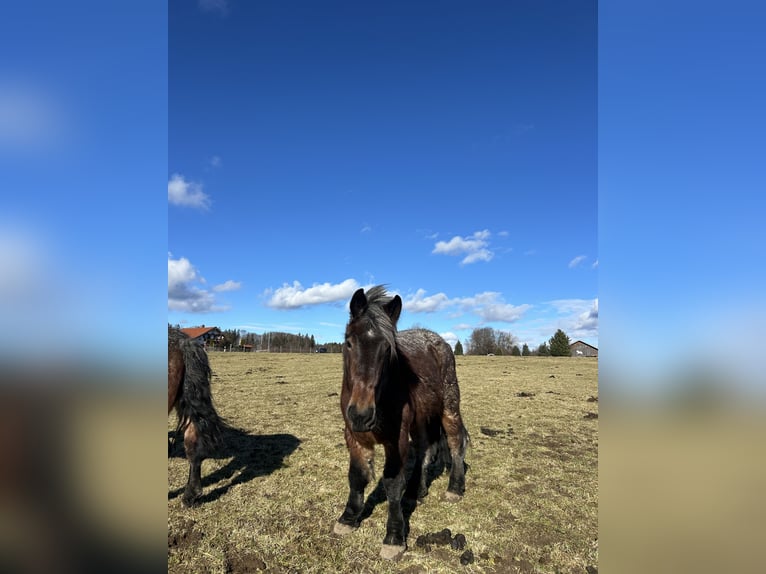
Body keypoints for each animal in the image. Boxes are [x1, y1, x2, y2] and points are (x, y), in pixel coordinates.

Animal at [334, 286, 472, 560]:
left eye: (387, 349)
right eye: (349, 342)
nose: (362, 414)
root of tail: (438, 340)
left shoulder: (395, 438)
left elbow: (392, 482)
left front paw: (394, 537)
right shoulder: (353, 434)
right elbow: (356, 476)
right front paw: (348, 518)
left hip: (449, 408)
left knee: (455, 443)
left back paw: (454, 488)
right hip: (420, 421)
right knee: (423, 450)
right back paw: (415, 492)